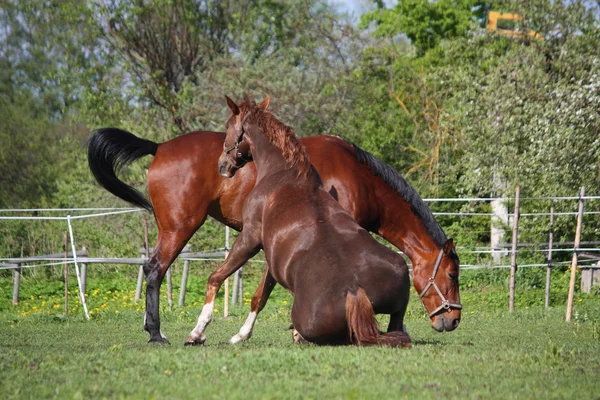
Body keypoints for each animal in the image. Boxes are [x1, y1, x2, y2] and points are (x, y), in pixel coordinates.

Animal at [86, 104, 462, 344]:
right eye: (452, 274)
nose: (453, 320)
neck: (358, 176)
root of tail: (160, 146)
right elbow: (268, 291)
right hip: (179, 229)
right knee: (154, 270)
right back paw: (156, 333)